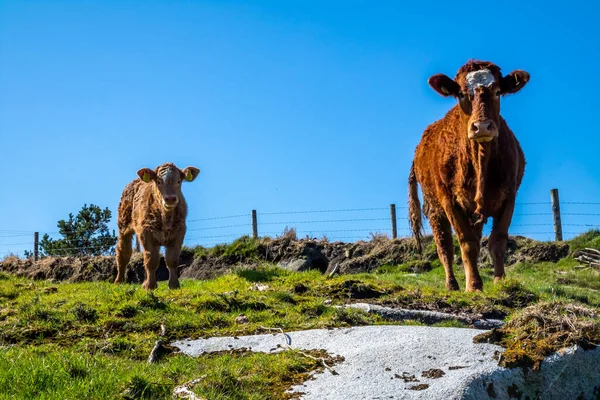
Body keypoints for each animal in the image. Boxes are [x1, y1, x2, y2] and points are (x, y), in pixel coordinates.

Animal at [115, 162, 202, 290]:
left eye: (178, 181)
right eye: (159, 181)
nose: (170, 198)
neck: (166, 218)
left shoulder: (179, 232)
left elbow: (172, 260)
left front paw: (174, 285)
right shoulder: (146, 232)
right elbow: (151, 260)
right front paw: (150, 286)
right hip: (123, 226)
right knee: (123, 252)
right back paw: (119, 281)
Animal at [408, 58, 528, 290]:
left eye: (497, 92)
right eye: (462, 94)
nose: (482, 126)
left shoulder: (509, 196)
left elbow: (498, 240)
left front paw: (500, 281)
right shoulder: (449, 201)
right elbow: (467, 242)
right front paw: (473, 286)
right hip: (435, 208)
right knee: (444, 245)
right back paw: (452, 284)